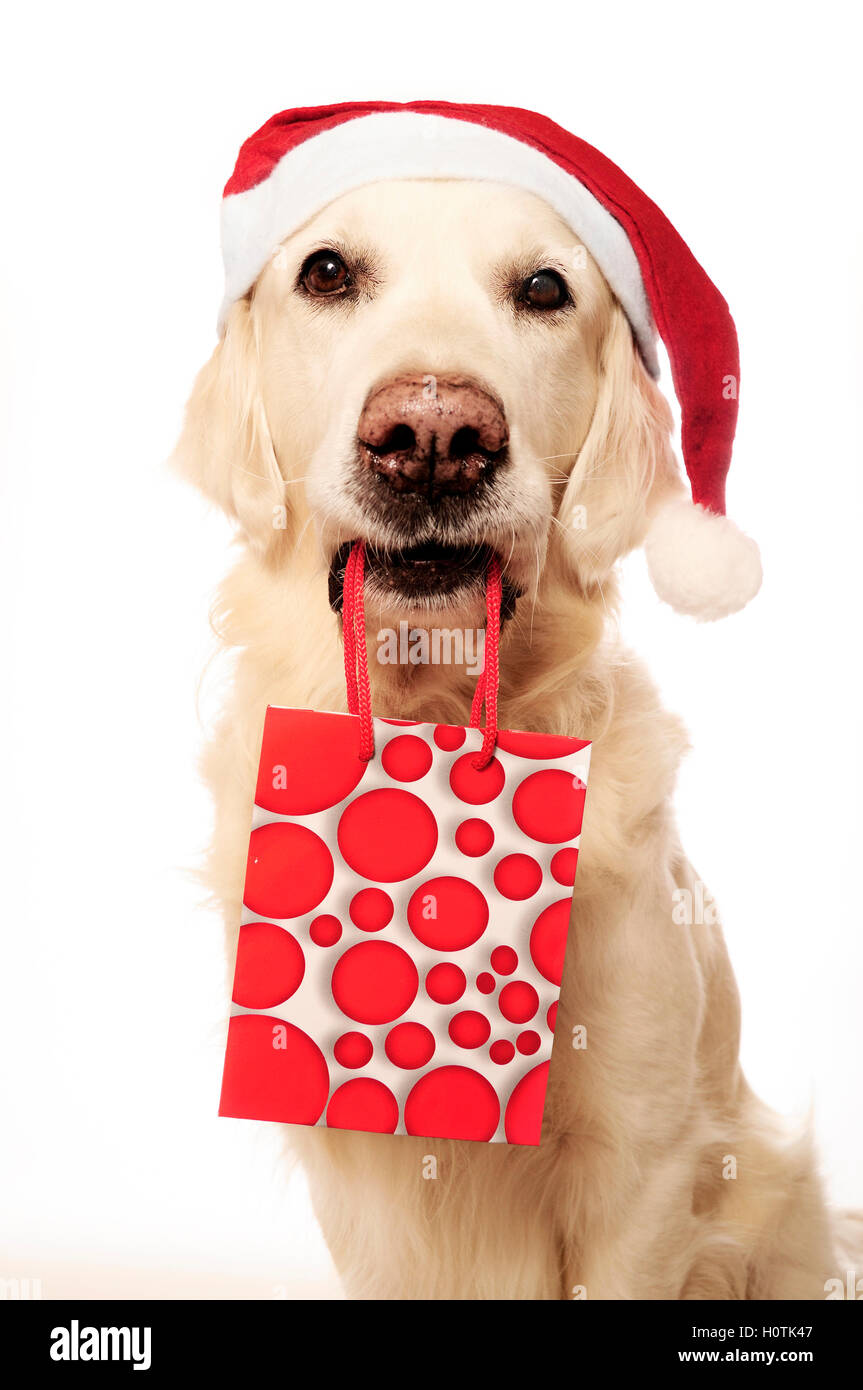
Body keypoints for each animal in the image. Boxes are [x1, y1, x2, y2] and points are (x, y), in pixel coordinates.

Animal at [175, 176, 839, 1301]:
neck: (431, 710)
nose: (434, 435)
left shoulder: (638, 1168)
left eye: (542, 287)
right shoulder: (364, 1192)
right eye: (325, 270)